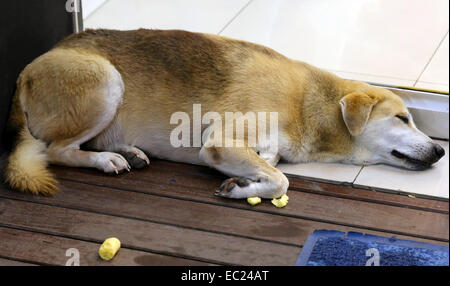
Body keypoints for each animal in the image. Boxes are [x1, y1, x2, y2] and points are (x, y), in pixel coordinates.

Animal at [4, 30, 446, 198]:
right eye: (403, 118)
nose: (441, 152)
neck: (309, 105)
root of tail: (24, 73)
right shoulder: (220, 143)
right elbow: (282, 180)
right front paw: (244, 187)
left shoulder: (256, 149)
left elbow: (271, 164)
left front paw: (247, 180)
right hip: (107, 81)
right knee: (57, 150)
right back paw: (106, 159)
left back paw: (127, 151)